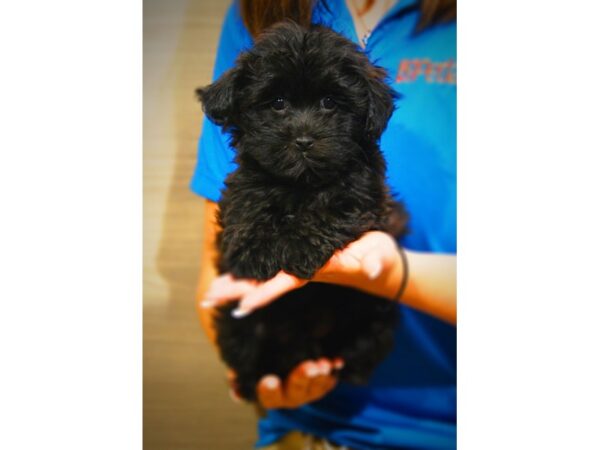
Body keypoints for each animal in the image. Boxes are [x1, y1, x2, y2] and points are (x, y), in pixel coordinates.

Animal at [198, 22, 408, 400]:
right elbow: (248, 206)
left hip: (371, 318)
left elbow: (332, 210)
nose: (304, 141)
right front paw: (257, 250)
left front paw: (299, 247)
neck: (301, 184)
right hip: (244, 329)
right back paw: (252, 381)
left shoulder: (366, 199)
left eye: (330, 103)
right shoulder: (247, 182)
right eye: (278, 103)